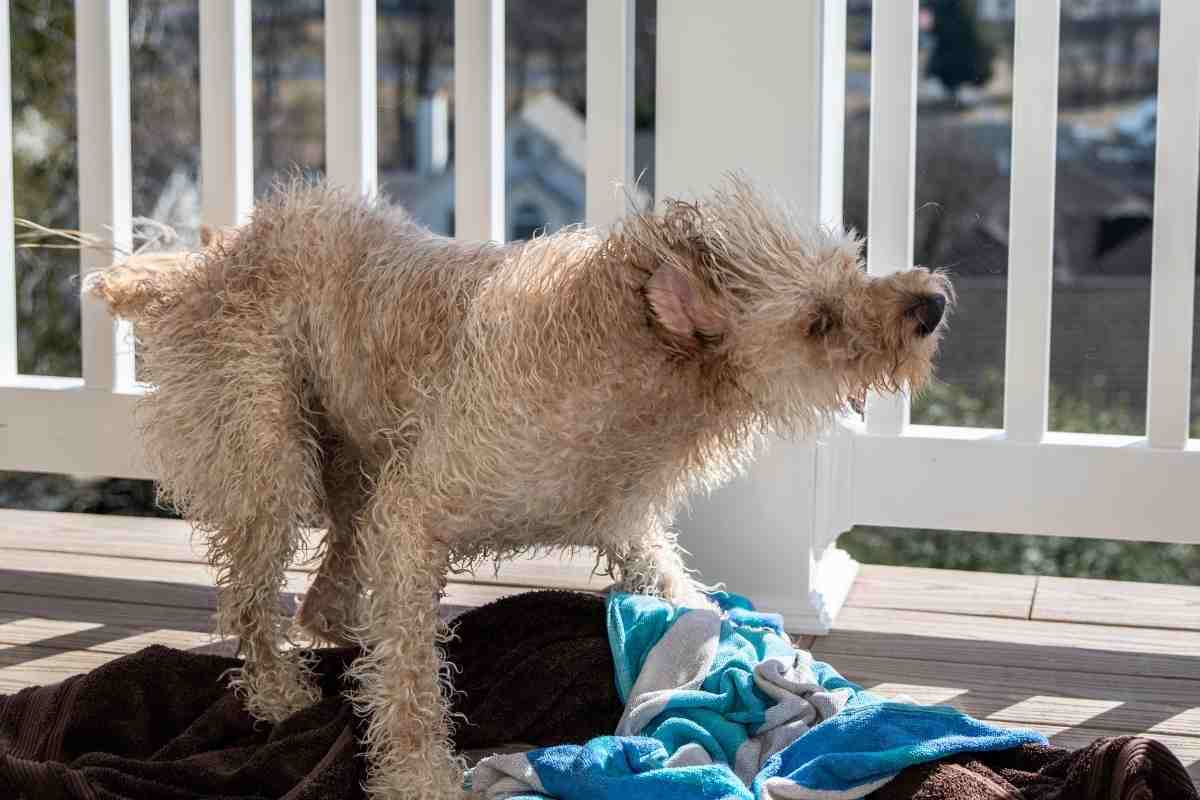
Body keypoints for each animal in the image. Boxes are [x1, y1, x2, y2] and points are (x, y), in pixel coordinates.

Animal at [84, 176, 950, 800]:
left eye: (850, 265)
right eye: (819, 321)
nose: (932, 302)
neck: (634, 366)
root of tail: (214, 258)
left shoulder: (627, 525)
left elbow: (679, 593)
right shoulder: (416, 511)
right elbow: (412, 684)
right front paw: (419, 777)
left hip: (355, 458)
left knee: (327, 593)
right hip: (270, 456)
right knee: (255, 600)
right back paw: (276, 690)